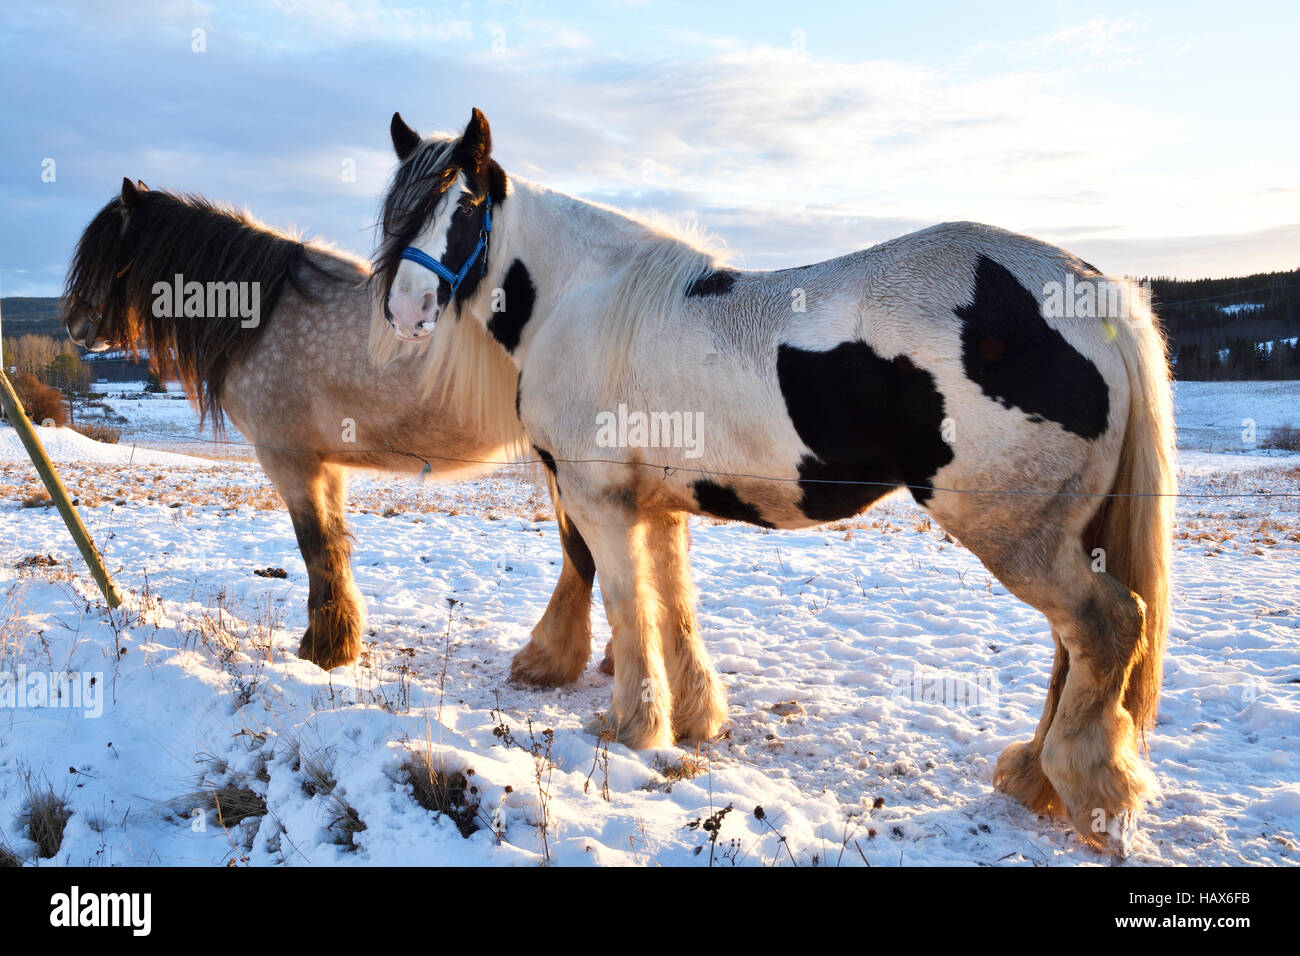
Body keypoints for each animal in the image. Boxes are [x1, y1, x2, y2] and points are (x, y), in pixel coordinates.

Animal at [64, 180, 595, 671]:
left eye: (105, 253)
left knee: (586, 557)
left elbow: (315, 547)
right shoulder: (328, 464)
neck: (263, 315)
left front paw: (323, 649)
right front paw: (340, 639)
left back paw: (551, 661)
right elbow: (335, 545)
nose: (73, 324)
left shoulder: (288, 461)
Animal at [371, 111, 1175, 853]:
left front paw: (630, 725)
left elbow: (627, 604)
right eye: (400, 212)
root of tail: (1089, 293)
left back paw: (1083, 789)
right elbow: (673, 602)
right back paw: (1035, 777)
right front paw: (694, 717)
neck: (585, 301)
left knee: (1105, 627)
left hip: (1016, 534)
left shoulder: (598, 502)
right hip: (1055, 534)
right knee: (1073, 644)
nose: (407, 310)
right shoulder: (655, 504)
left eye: (466, 206)